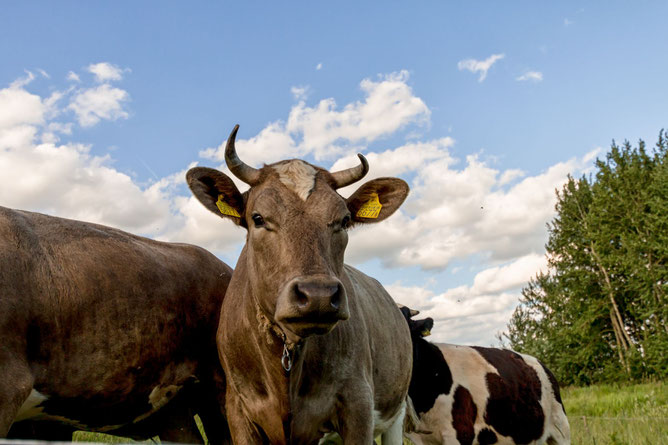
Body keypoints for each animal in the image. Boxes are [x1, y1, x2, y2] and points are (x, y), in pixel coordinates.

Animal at [187, 123, 412, 442]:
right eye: (258, 218)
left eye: (344, 220)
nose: (318, 295)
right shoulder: (237, 409)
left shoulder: (358, 404)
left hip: (397, 411)